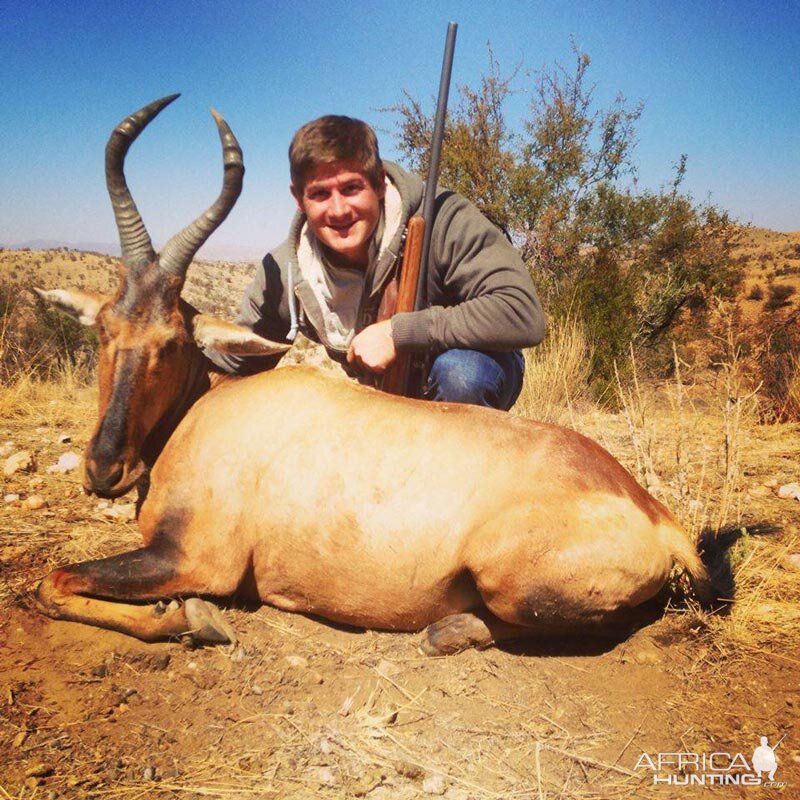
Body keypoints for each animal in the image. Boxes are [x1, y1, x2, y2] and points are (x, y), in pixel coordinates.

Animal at [34, 95, 708, 656]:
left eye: (172, 342)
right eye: (103, 328)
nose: (104, 470)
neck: (214, 405)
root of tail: (655, 512)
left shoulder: (198, 561)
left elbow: (52, 581)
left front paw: (193, 621)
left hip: (507, 576)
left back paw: (446, 631)